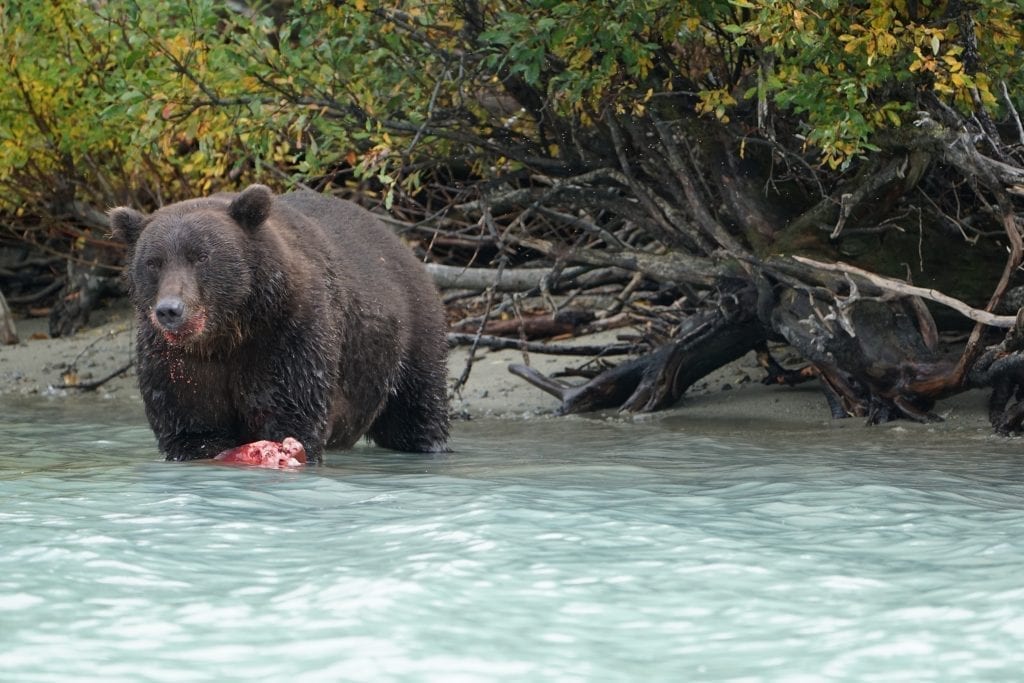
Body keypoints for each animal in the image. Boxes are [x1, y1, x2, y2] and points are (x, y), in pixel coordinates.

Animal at [107, 185, 452, 464]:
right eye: (153, 262)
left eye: (201, 257)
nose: (170, 310)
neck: (228, 332)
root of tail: (402, 247)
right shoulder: (177, 360)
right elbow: (192, 425)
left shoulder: (287, 333)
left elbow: (291, 412)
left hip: (411, 332)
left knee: (416, 410)